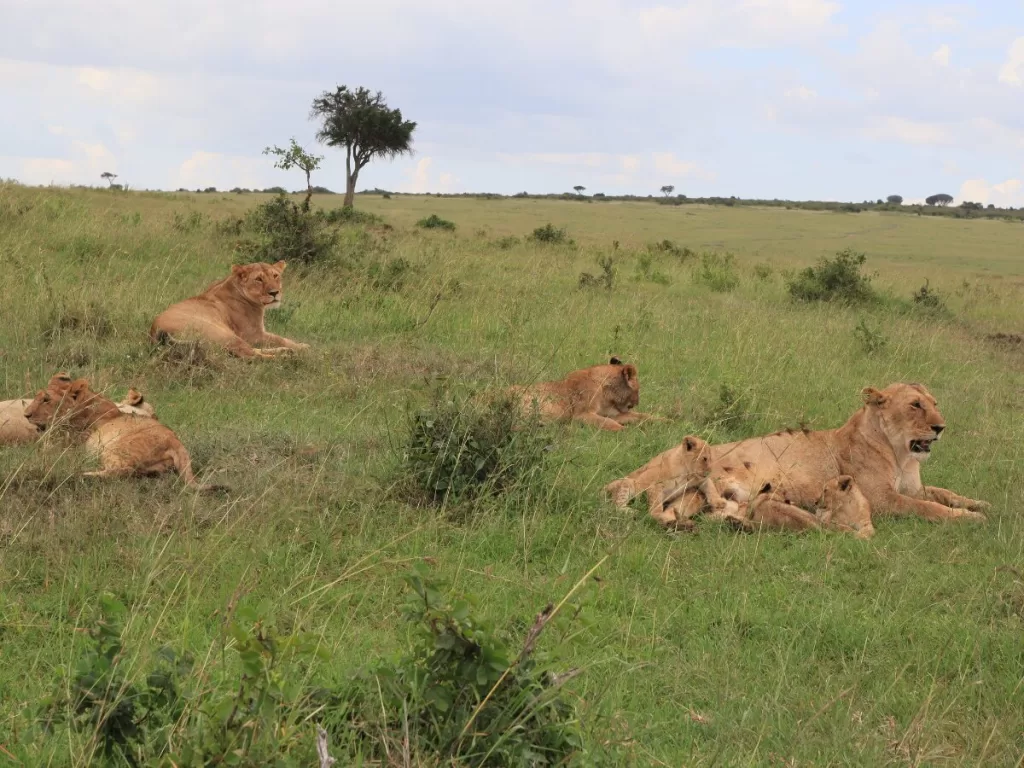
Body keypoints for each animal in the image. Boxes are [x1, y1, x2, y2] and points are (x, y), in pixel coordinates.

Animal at [23, 374, 222, 493]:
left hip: (113, 449)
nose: (26, 415)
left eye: (46, 400)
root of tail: (176, 442)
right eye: (37, 396)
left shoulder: (69, 447)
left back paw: (79, 474)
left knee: (120, 471)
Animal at [148, 260, 307, 360]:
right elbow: (279, 338)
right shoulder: (252, 334)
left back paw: (286, 352)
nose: (274, 293)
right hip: (224, 333)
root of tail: (154, 331)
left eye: (275, 276)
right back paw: (285, 357)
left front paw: (299, 346)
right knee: (250, 355)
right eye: (259, 279)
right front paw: (304, 347)